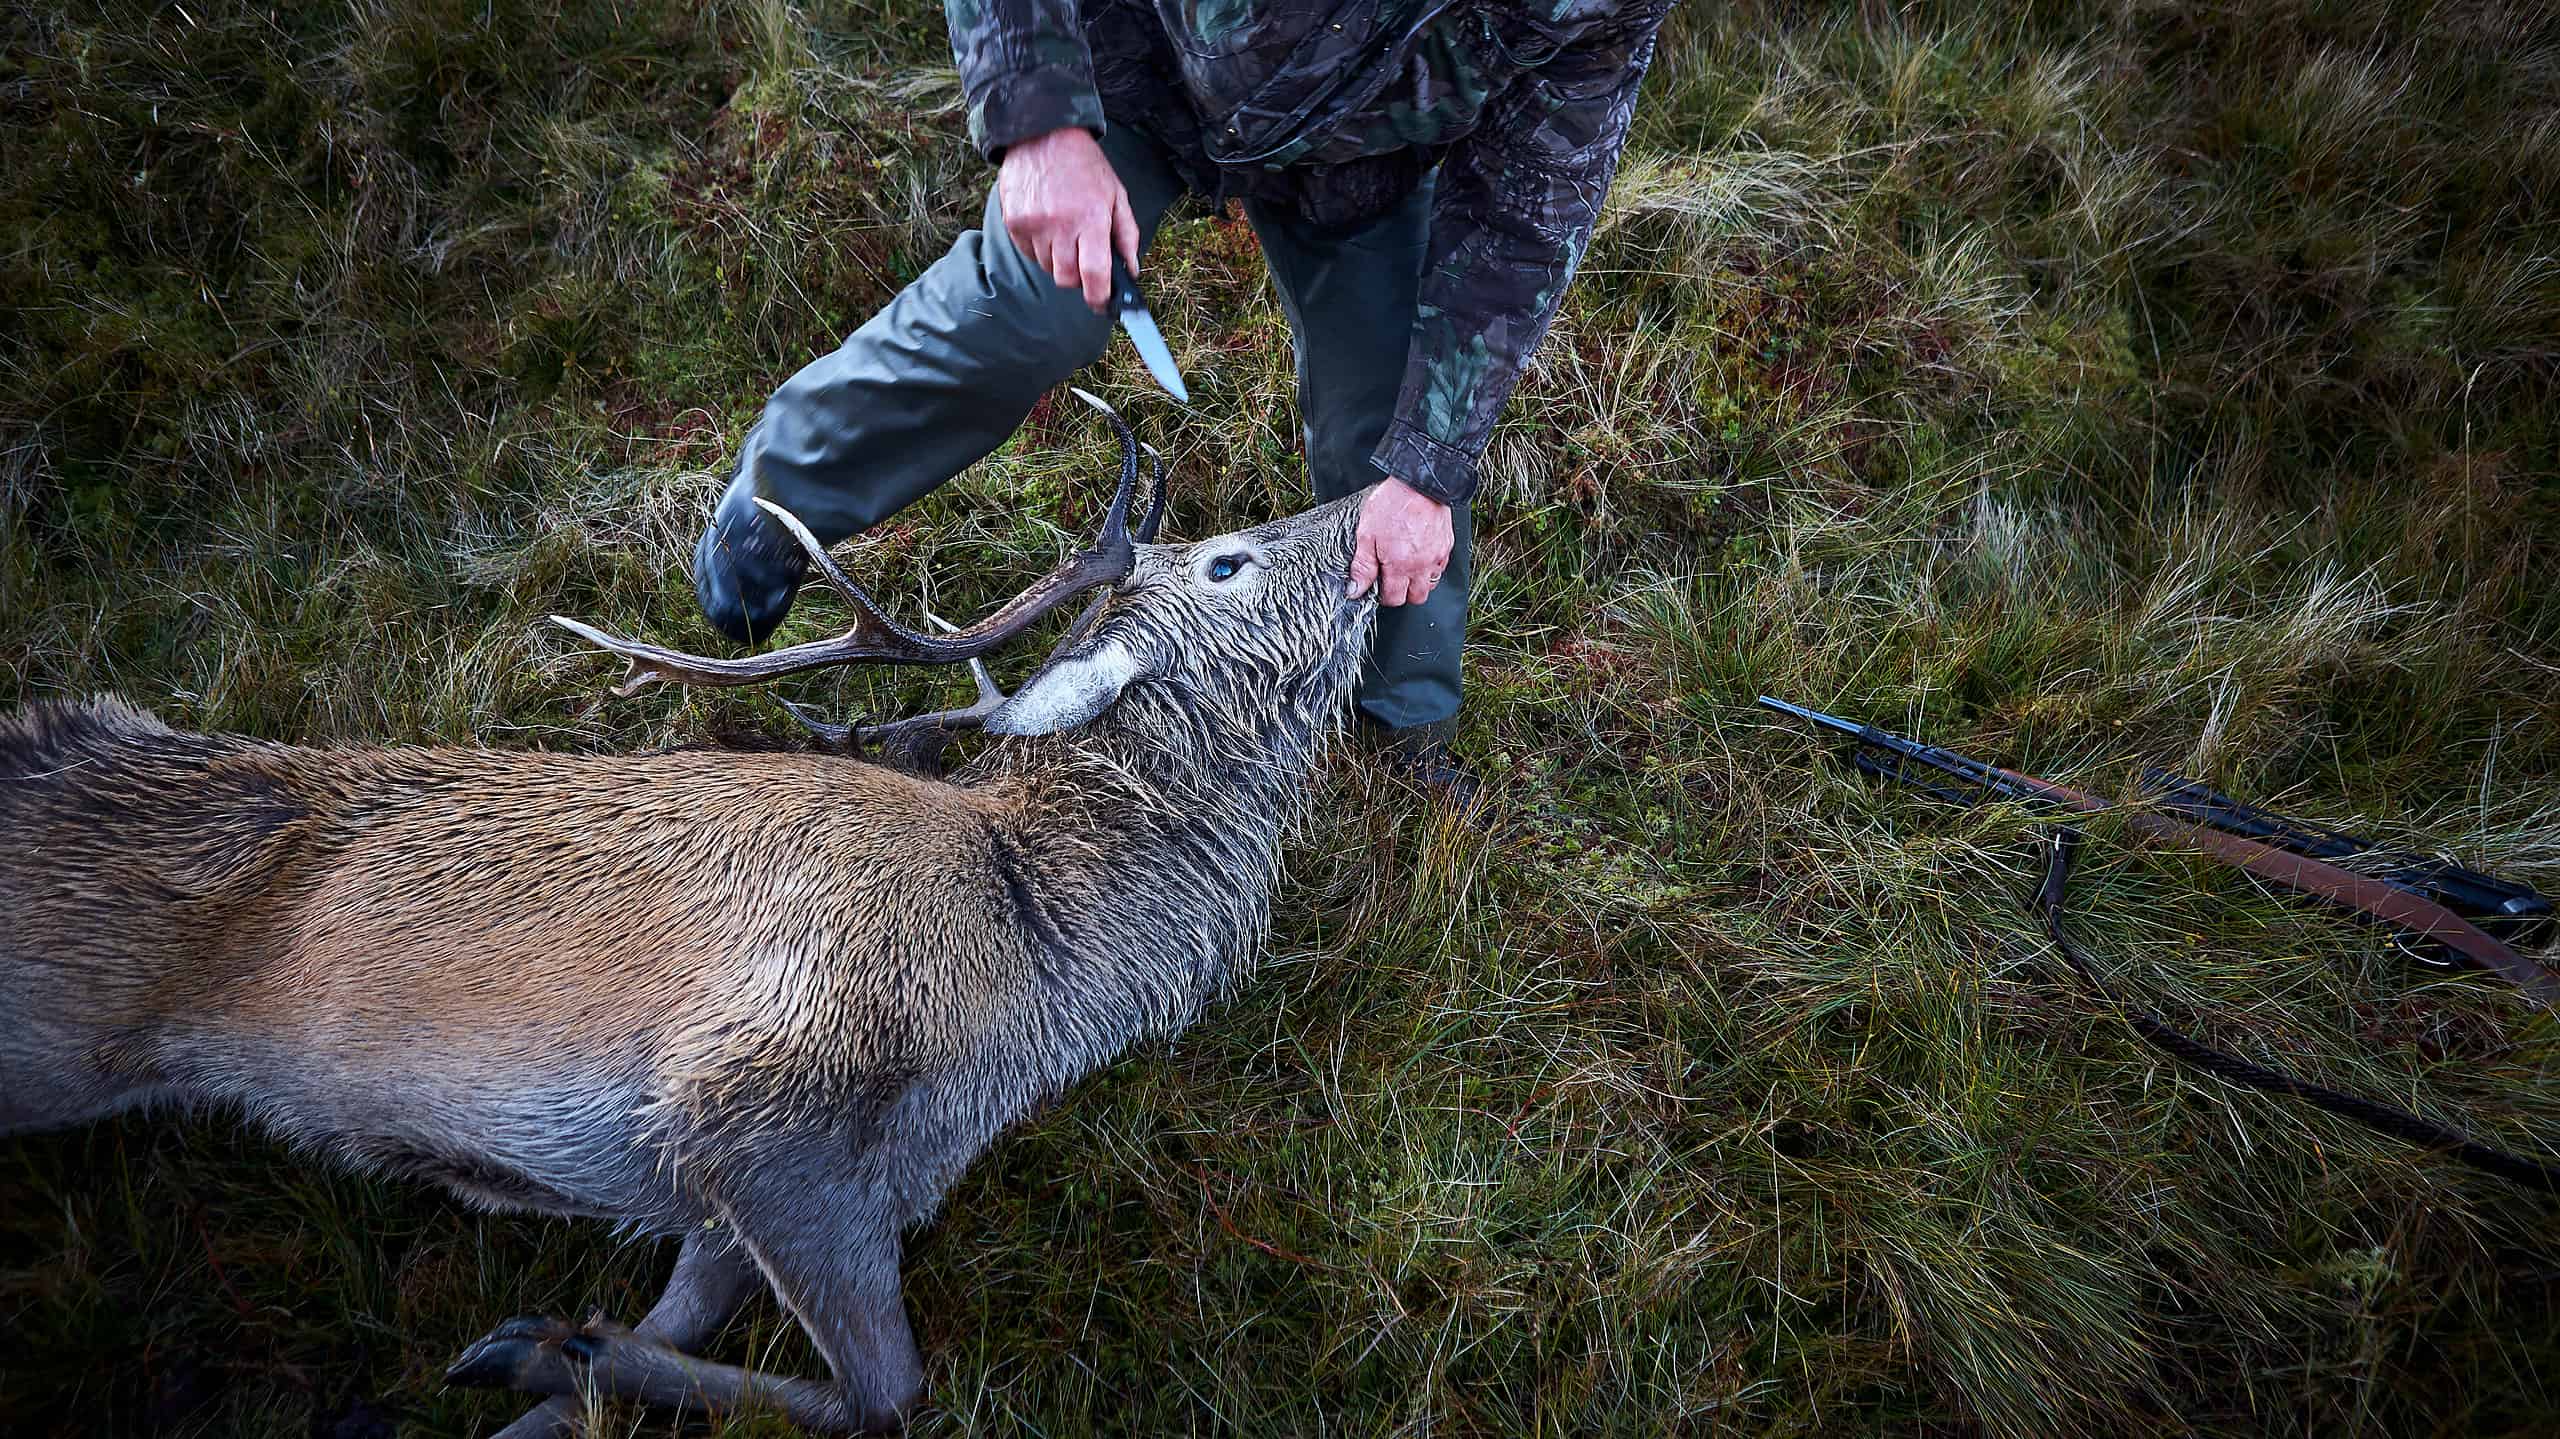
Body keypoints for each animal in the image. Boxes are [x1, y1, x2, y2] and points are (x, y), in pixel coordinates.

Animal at [0, 389, 1382, 1423]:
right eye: (1230, 559)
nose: (1377, 499)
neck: (1037, 956)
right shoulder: (757, 1094)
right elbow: (888, 1392)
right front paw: (543, 1347)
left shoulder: (762, 1187)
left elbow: (680, 1324)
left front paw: (551, 1364)